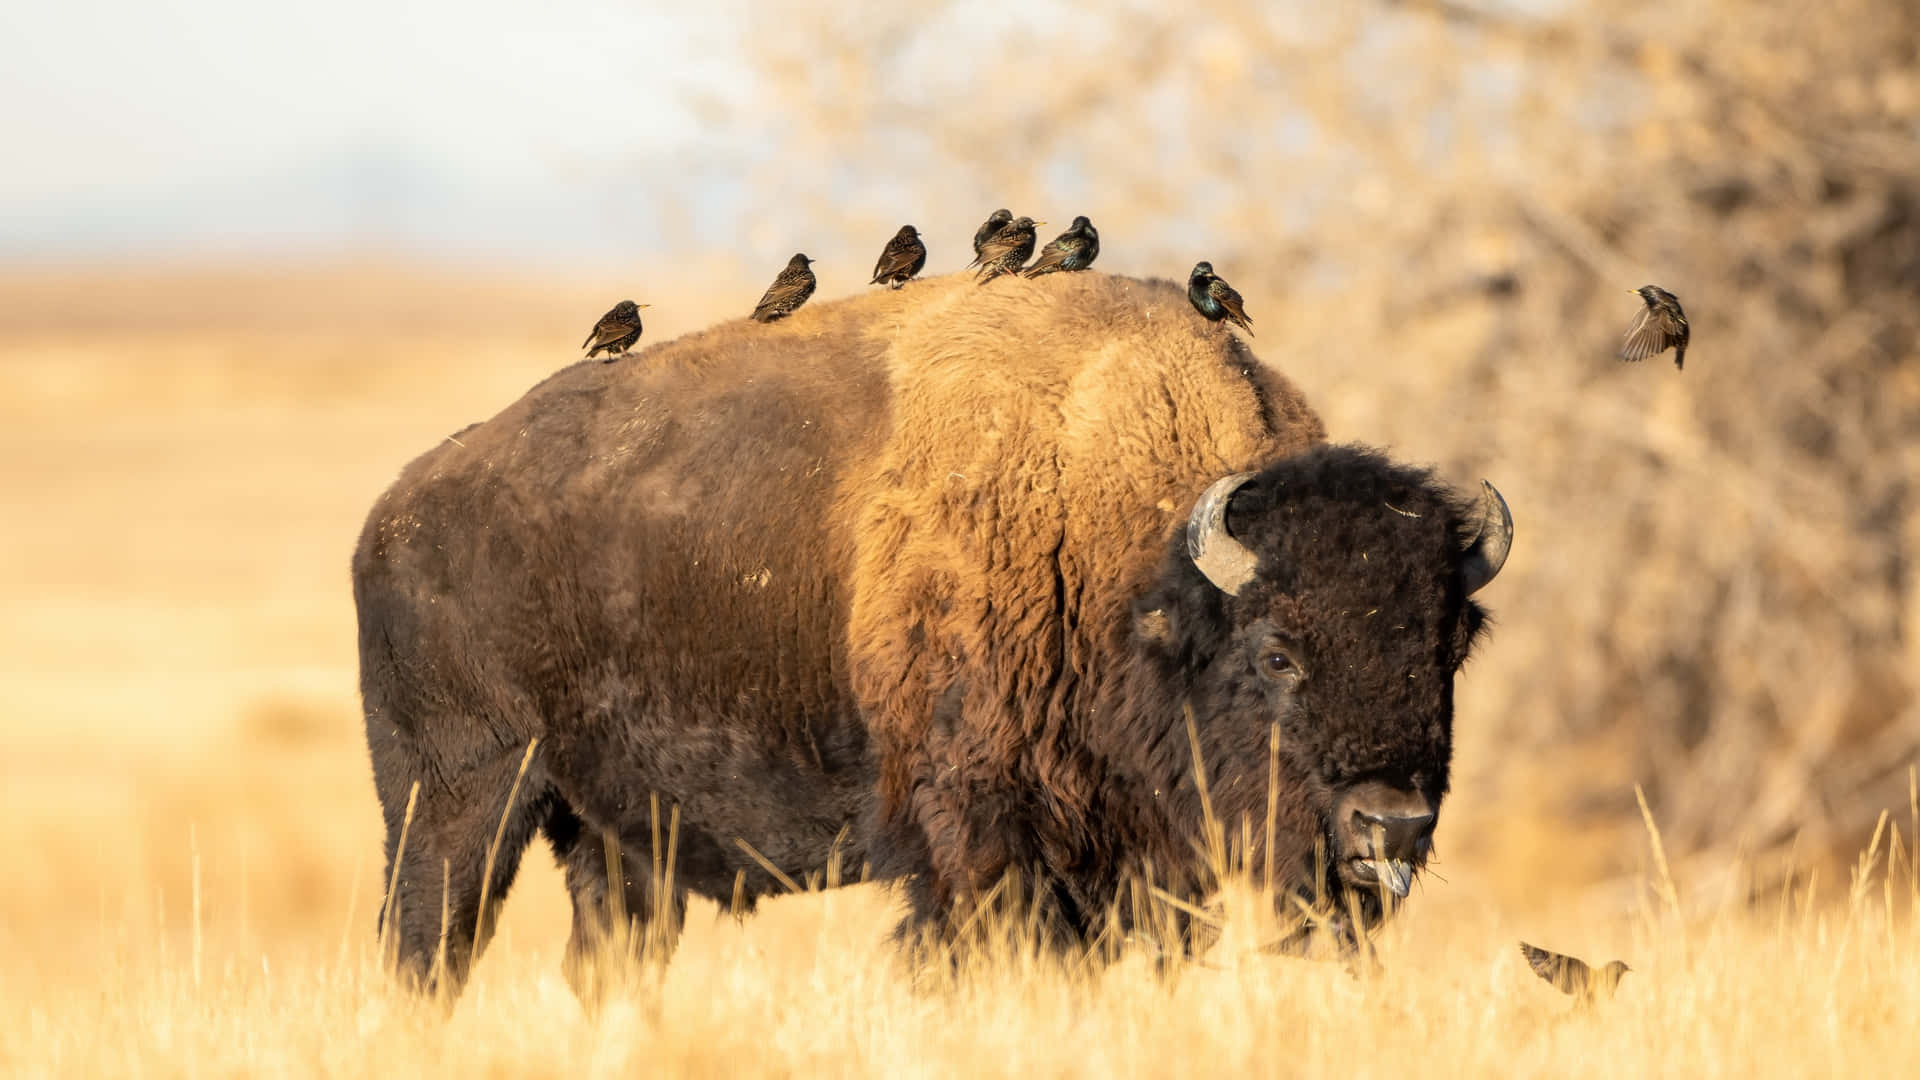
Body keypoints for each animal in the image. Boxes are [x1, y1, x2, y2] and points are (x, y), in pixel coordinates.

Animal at [353, 269, 1505, 991]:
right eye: (1276, 654)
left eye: (1446, 650)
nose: (1392, 827)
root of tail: (397, 510)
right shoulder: (979, 833)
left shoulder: (1133, 857)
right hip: (458, 801)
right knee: (427, 946)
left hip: (620, 842)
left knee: (608, 957)